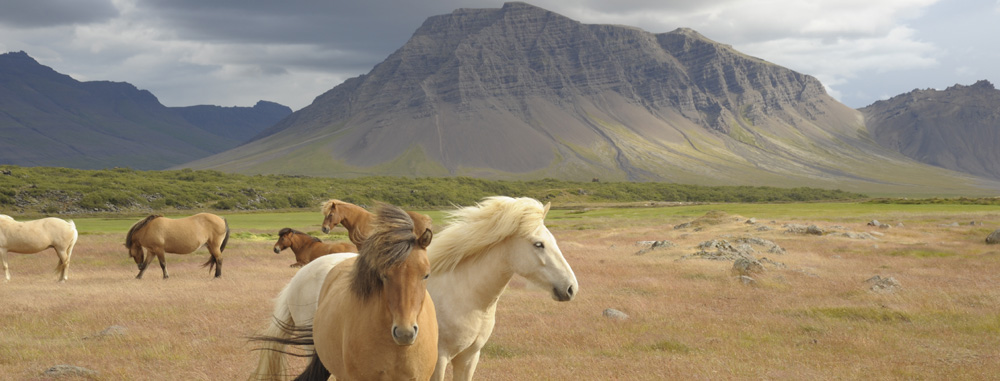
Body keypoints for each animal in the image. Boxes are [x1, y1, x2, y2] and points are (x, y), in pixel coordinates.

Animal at [250, 196, 580, 380]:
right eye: (538, 244)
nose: (570, 288)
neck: (466, 296)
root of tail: (302, 275)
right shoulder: (440, 359)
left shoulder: (469, 357)